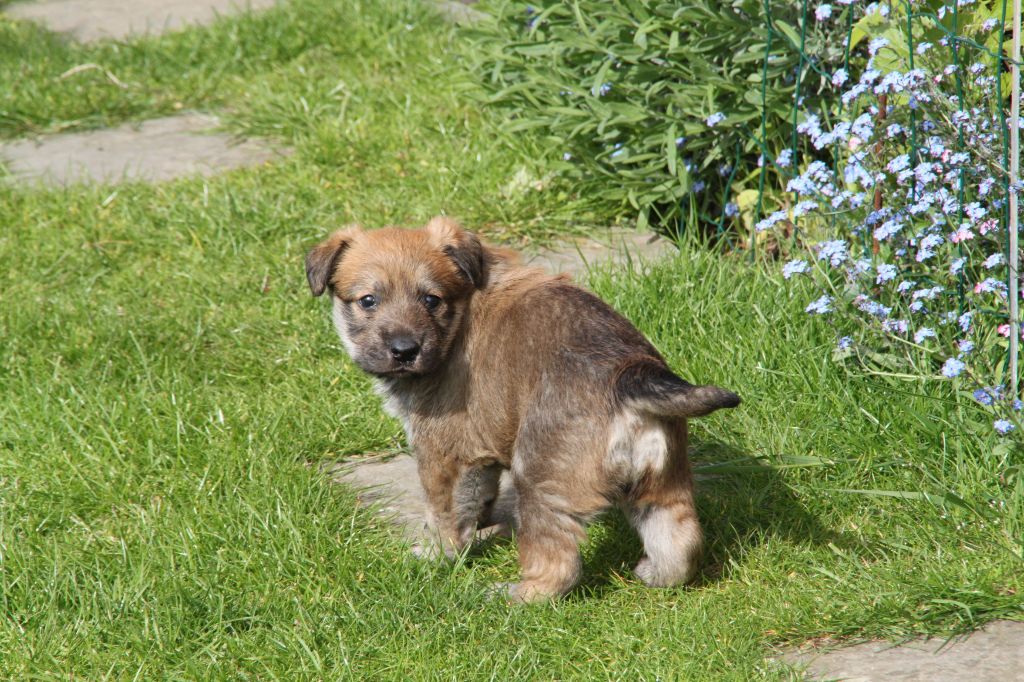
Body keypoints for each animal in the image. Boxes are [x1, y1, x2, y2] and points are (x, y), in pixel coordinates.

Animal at [307, 218, 741, 602]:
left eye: (431, 300)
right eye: (368, 301)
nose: (404, 350)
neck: (461, 310)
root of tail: (628, 375)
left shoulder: (442, 452)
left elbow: (444, 512)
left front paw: (435, 556)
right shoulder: (476, 455)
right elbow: (475, 499)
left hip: (540, 474)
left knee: (559, 562)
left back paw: (515, 596)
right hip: (665, 476)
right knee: (679, 540)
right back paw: (654, 574)